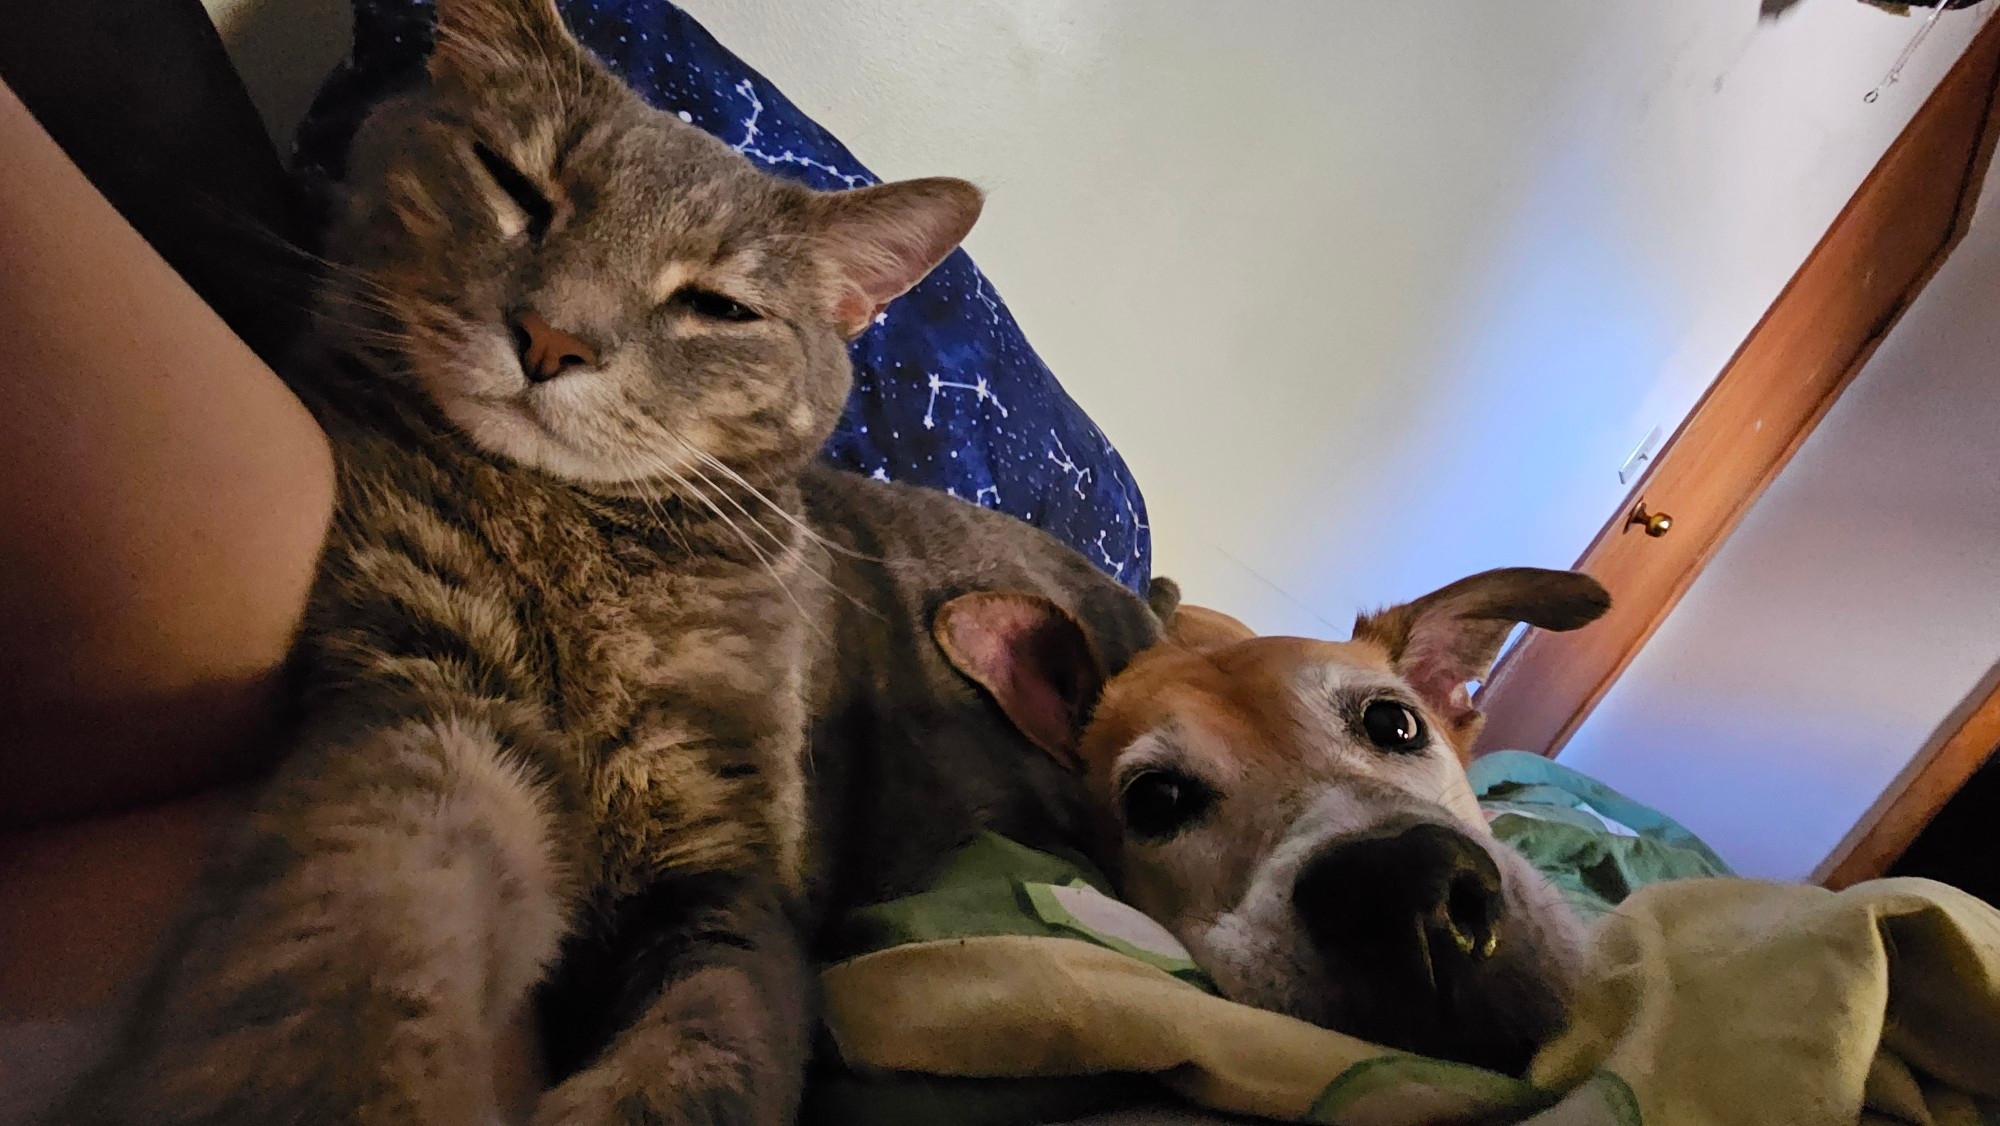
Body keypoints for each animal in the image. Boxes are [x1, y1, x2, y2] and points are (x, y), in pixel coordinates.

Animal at [58, 0, 1064, 1120]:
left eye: (717, 305)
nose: (551, 338)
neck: (573, 538)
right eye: (517, 185)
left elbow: (707, 1046)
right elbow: (362, 921)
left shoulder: (726, 868)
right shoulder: (432, 693)